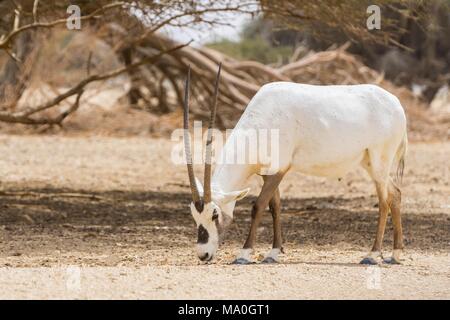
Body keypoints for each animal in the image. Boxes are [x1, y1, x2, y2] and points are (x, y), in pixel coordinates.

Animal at [183, 63, 408, 264]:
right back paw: (395, 255)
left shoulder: (279, 170)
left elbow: (258, 206)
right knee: (395, 194)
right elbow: (275, 206)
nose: (203, 254)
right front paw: (273, 253)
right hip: (369, 162)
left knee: (384, 202)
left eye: (214, 214)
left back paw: (372, 255)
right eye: (194, 215)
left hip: (380, 160)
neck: (262, 119)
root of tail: (396, 103)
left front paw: (244, 254)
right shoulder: (269, 172)